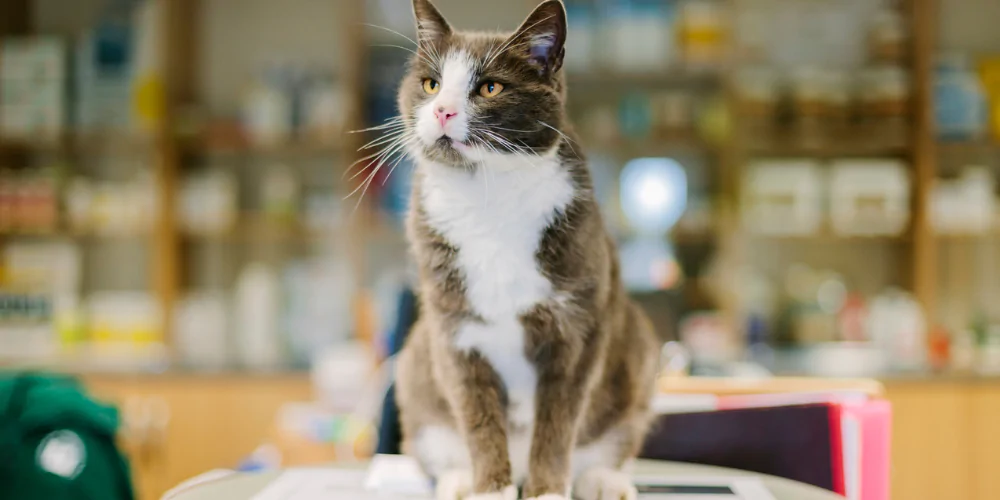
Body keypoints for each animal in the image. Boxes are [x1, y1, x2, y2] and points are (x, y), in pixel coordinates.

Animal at [392, 0, 664, 500]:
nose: (442, 111)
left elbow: (558, 423)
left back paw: (603, 479)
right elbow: (478, 418)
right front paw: (490, 488)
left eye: (490, 87)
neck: (487, 198)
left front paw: (549, 490)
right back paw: (459, 480)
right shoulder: (451, 331)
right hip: (414, 366)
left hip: (637, 351)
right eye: (431, 84)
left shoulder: (579, 328)